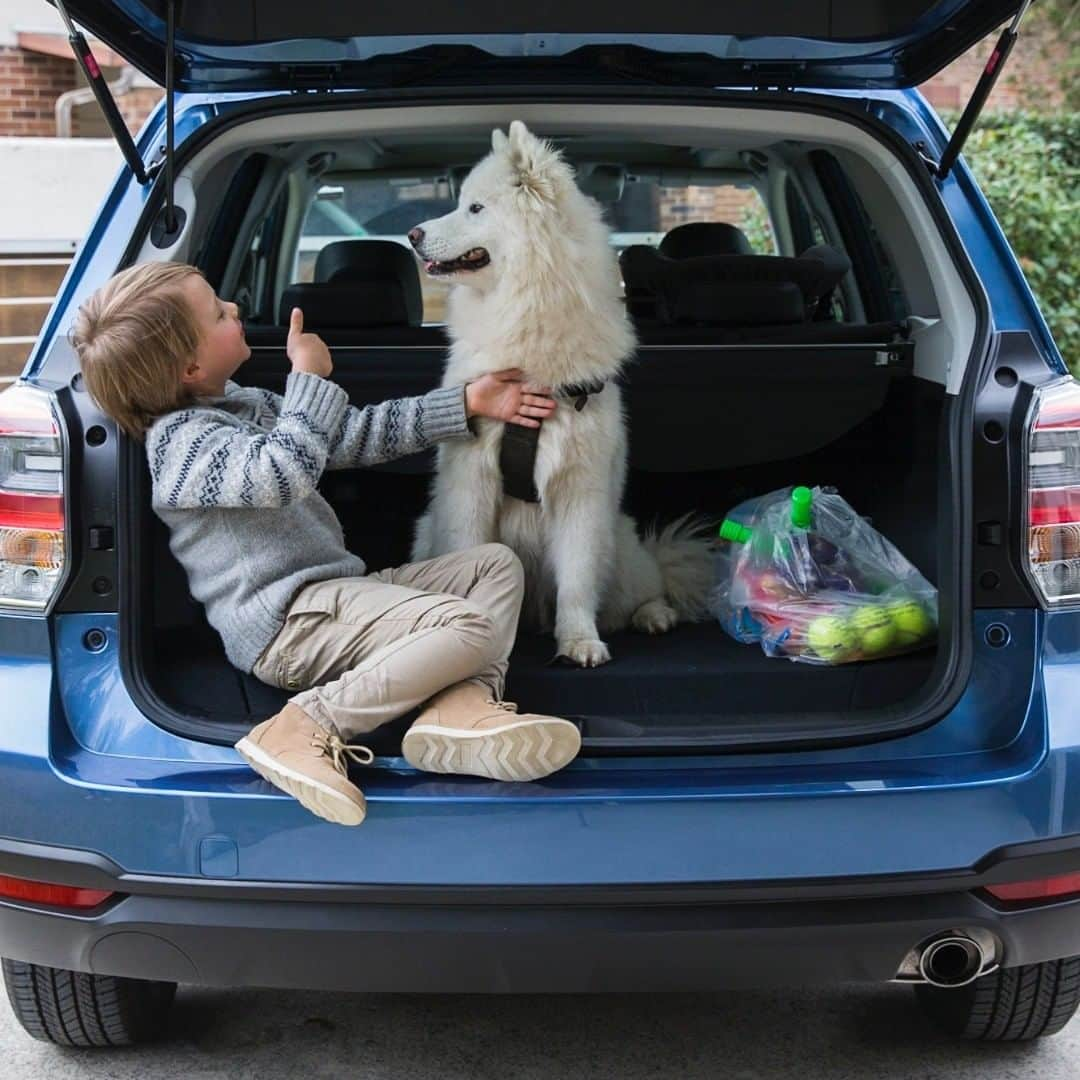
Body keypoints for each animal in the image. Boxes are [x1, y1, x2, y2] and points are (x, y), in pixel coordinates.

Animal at [408, 120, 712, 665]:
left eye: (476, 208)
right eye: (461, 202)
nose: (412, 235)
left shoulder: (580, 491)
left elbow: (576, 579)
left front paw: (578, 641)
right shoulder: (469, 481)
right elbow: (468, 554)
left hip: (618, 544)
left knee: (643, 589)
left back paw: (654, 615)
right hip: (426, 530)